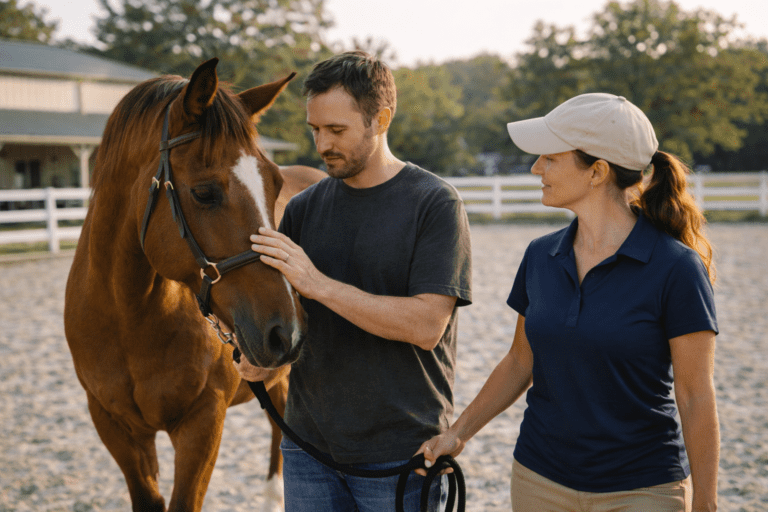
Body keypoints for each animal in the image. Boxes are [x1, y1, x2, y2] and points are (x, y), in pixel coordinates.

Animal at [64, 57, 325, 512]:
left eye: (274, 183)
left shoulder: (202, 422)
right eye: (204, 193)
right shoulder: (115, 426)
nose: (285, 332)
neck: (128, 317)